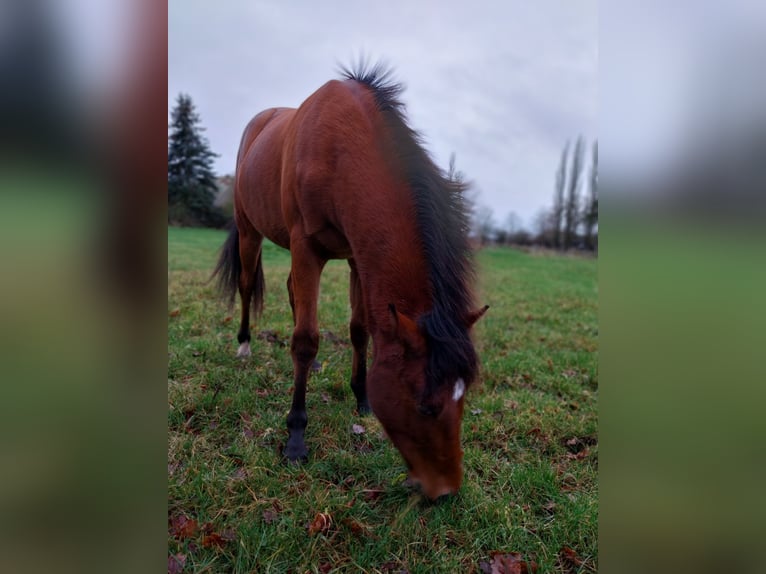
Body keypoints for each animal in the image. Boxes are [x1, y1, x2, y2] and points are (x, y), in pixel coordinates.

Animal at [213, 63, 488, 500]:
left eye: (464, 398)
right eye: (425, 406)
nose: (446, 491)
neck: (339, 152)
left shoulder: (358, 257)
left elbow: (359, 329)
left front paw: (362, 399)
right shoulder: (306, 247)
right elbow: (305, 339)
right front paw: (295, 438)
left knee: (293, 294)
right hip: (249, 231)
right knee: (246, 284)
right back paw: (244, 345)